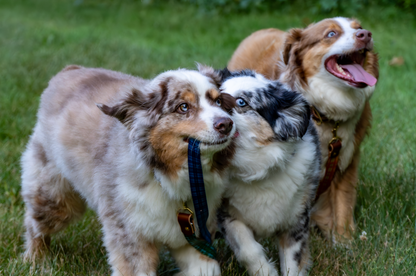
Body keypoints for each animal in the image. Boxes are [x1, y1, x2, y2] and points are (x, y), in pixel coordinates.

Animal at [22, 64, 234, 276]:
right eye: (183, 107)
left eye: (218, 101)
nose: (226, 124)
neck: (168, 175)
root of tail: (70, 69)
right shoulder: (128, 233)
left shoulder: (195, 235)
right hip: (53, 196)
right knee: (35, 227)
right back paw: (36, 261)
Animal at [211, 68, 322, 276]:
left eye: (241, 102)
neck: (257, 169)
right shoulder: (226, 215)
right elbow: (248, 250)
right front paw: (266, 271)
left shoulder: (296, 220)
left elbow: (293, 263)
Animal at [229, 17, 378, 242]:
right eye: (331, 34)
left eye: (358, 28)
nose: (366, 35)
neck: (324, 114)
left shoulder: (347, 158)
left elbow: (343, 201)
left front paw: (344, 240)